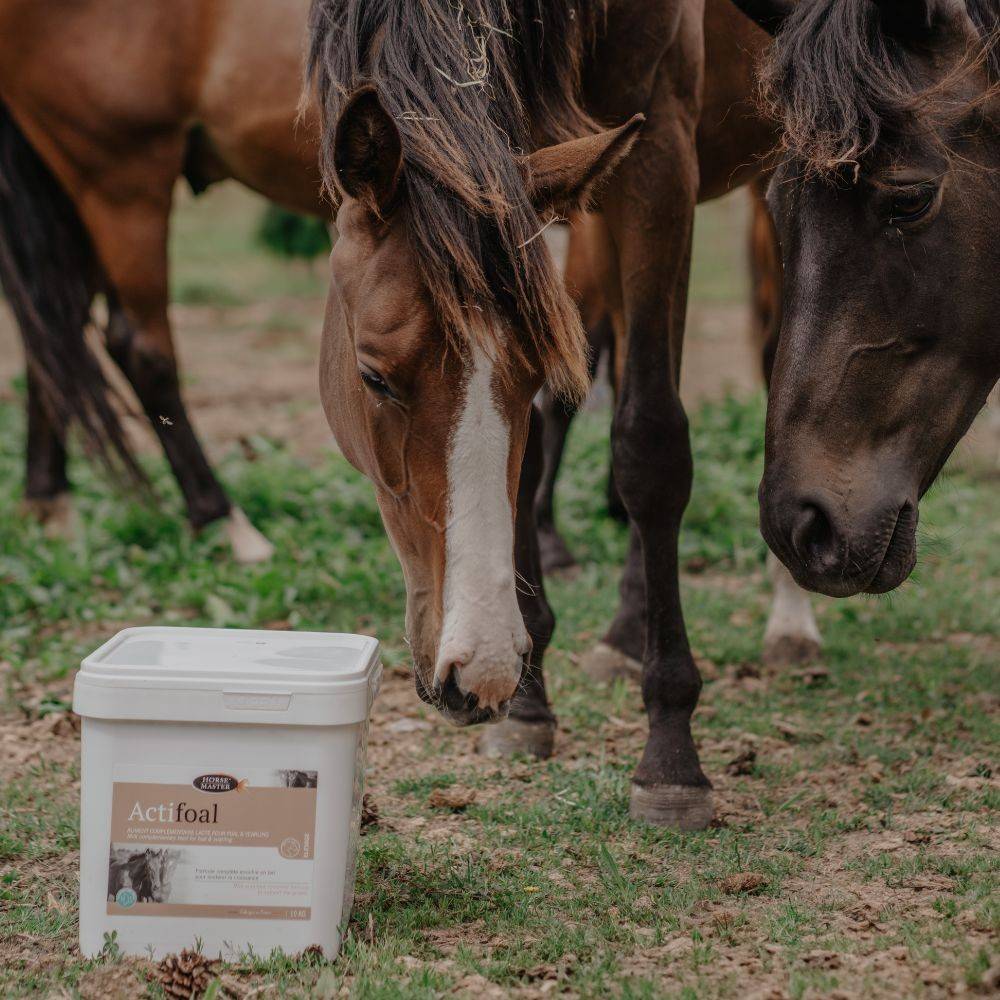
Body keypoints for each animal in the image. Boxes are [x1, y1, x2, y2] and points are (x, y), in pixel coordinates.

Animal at [309, 0, 799, 829]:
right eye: (373, 377)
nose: (477, 671)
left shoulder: (659, 150)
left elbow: (651, 443)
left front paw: (672, 759)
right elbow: (537, 442)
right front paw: (529, 698)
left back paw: (793, 620)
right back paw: (625, 632)